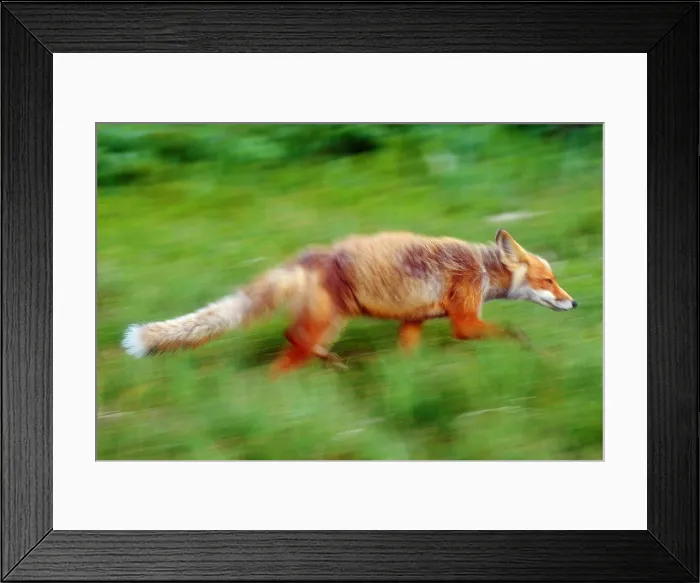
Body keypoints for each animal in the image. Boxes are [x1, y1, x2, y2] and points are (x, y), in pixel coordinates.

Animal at [121, 229, 577, 375]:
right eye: (549, 280)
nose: (574, 304)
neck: (480, 269)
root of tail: (309, 254)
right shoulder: (463, 322)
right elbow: (511, 331)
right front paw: (530, 349)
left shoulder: (413, 322)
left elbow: (408, 358)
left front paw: (410, 383)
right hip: (328, 322)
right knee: (287, 352)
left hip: (330, 323)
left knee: (295, 340)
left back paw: (330, 364)